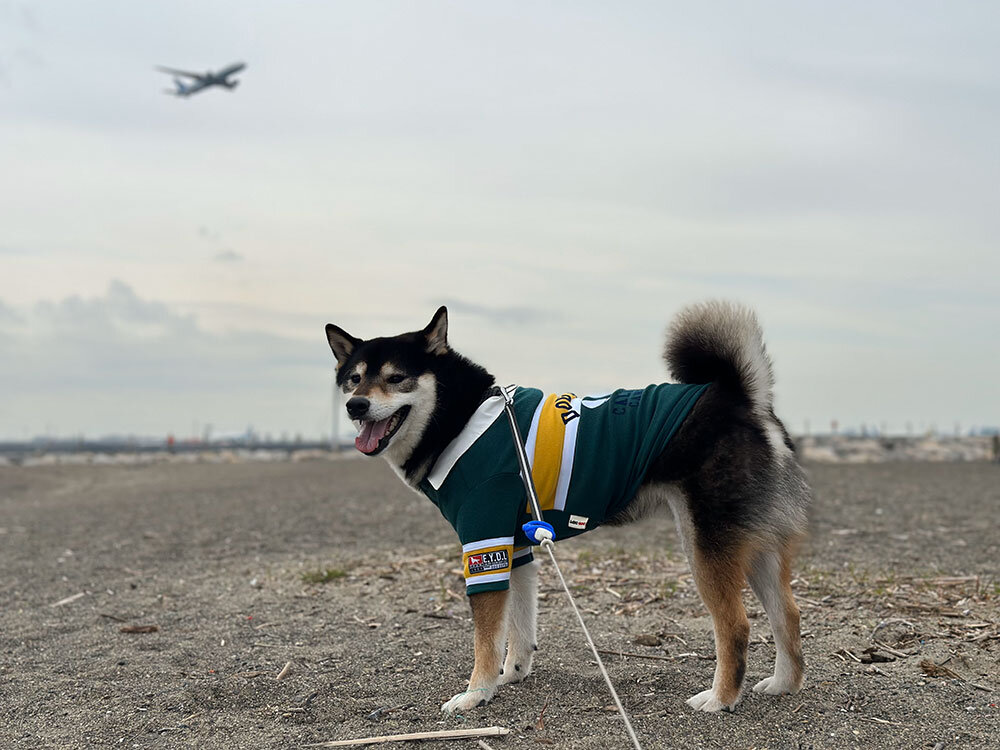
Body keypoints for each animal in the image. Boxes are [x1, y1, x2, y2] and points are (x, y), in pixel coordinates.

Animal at [324, 302, 808, 716]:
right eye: (354, 379)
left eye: (396, 377)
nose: (355, 405)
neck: (459, 415)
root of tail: (743, 398)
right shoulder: (514, 545)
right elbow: (519, 628)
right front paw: (512, 674)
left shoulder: (483, 546)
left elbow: (486, 639)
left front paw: (477, 693)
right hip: (758, 550)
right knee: (788, 615)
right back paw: (783, 685)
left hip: (706, 548)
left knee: (737, 626)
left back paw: (722, 699)